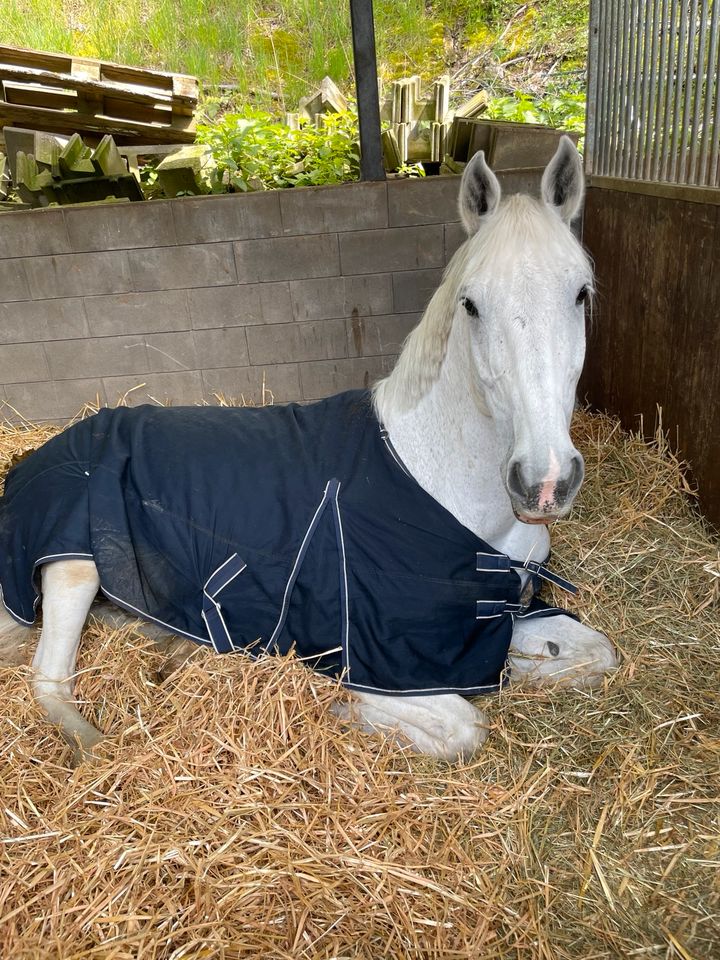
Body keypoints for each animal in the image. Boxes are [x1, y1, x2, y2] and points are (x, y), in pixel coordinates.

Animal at [0, 137, 616, 764]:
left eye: (580, 293)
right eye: (470, 304)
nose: (545, 482)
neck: (446, 493)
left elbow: (593, 651)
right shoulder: (376, 654)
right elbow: (464, 726)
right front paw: (338, 705)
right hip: (72, 568)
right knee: (47, 679)